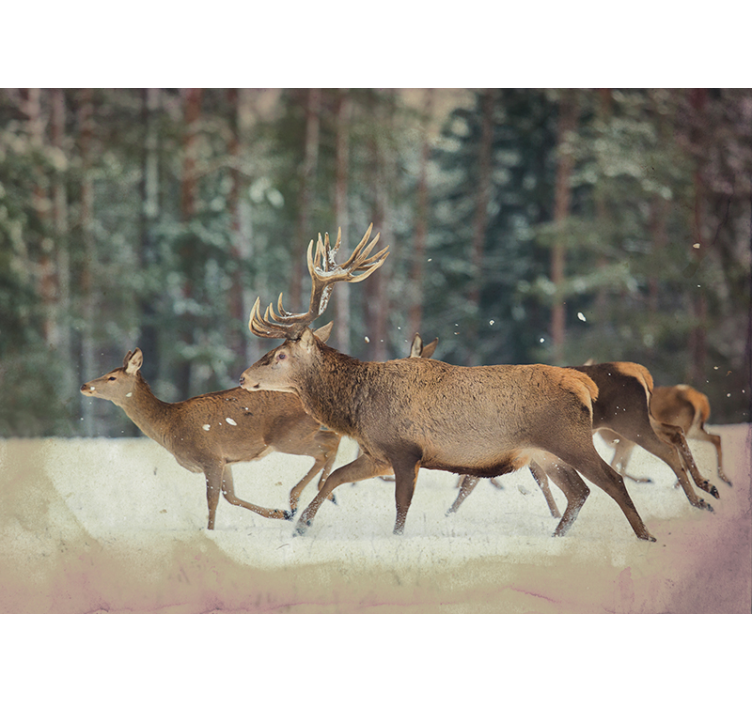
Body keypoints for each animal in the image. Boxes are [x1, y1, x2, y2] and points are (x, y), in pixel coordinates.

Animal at [80, 342, 342, 530]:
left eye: (112, 377)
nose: (84, 386)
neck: (169, 426)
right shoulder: (225, 460)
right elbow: (231, 497)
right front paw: (280, 513)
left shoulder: (209, 456)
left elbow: (213, 500)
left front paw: (210, 531)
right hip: (299, 433)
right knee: (332, 439)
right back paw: (312, 500)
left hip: (285, 437)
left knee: (327, 447)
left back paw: (306, 498)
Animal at [239, 225, 657, 541]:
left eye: (279, 355)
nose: (243, 377)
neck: (356, 407)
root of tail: (582, 382)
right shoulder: (377, 453)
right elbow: (336, 478)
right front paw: (301, 523)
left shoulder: (406, 450)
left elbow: (401, 506)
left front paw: (396, 540)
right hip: (543, 453)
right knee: (579, 491)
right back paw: (558, 536)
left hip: (570, 438)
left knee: (612, 480)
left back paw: (645, 535)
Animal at [446, 355, 721, 517]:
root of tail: (641, 372)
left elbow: (470, 483)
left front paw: (448, 513)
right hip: (644, 420)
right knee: (677, 433)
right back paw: (707, 488)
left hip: (631, 422)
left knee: (667, 449)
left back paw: (700, 498)